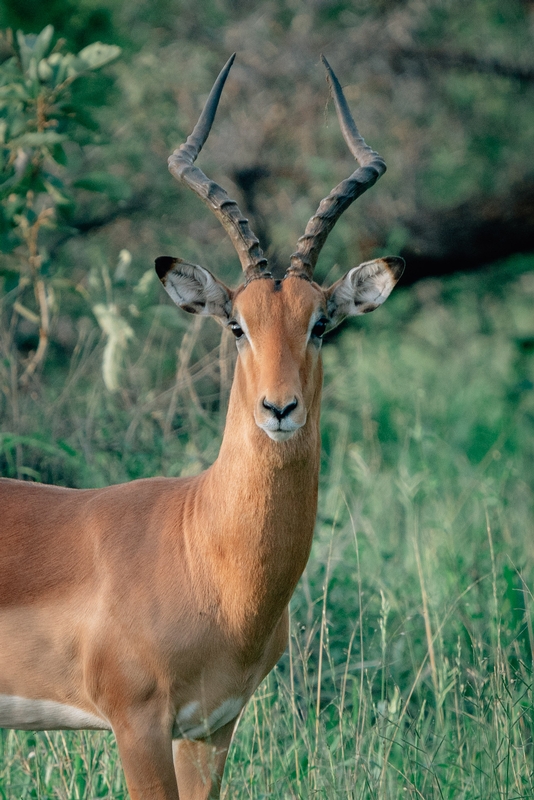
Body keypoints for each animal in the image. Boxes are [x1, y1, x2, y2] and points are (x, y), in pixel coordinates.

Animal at [0, 56, 402, 800]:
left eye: (321, 323)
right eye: (236, 324)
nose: (279, 409)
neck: (204, 550)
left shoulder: (211, 729)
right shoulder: (138, 725)